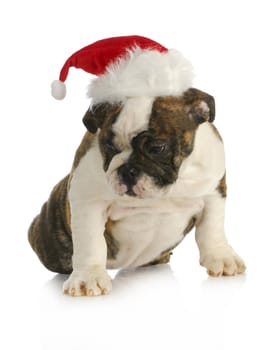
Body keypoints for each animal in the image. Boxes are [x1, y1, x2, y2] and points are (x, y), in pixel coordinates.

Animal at [28, 87, 246, 296]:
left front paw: (221, 256)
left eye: (157, 148)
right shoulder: (87, 199)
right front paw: (88, 277)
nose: (127, 170)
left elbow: (211, 228)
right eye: (109, 145)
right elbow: (91, 241)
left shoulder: (213, 191)